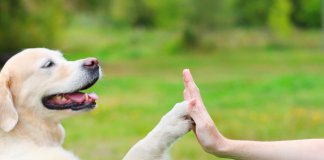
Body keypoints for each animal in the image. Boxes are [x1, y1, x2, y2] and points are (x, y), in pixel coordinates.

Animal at [0, 48, 192, 160]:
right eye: (48, 64)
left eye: (63, 58)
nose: (94, 62)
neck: (25, 133)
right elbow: (140, 147)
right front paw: (173, 121)